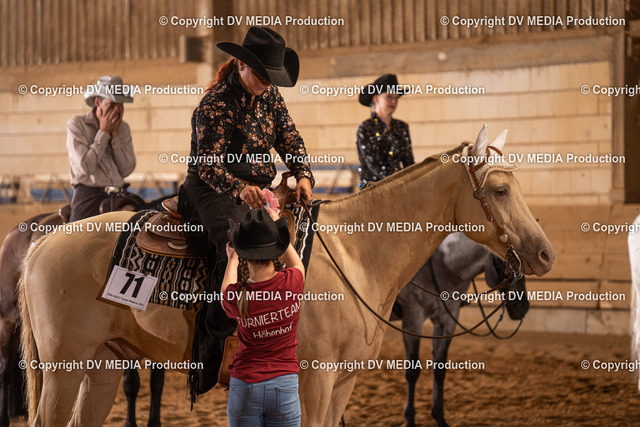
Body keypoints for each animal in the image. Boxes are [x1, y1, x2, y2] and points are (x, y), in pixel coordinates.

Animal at [393, 232, 528, 427]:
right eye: (509, 261)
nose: (523, 307)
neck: (444, 265)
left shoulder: (446, 320)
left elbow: (439, 369)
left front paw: (439, 417)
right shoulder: (413, 319)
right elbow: (412, 372)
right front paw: (410, 419)